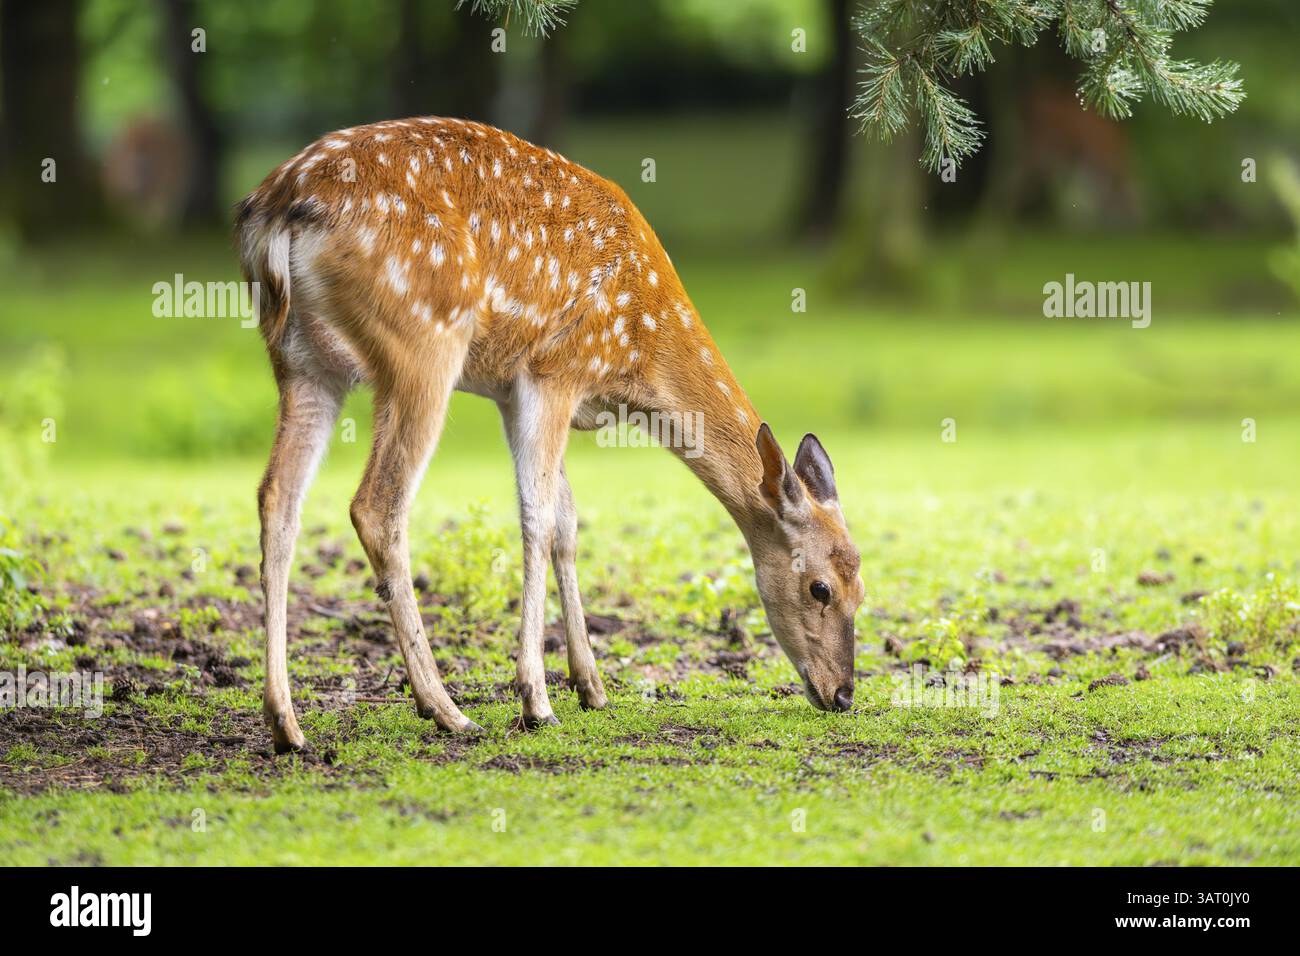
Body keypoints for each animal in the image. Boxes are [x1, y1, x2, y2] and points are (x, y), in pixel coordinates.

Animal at [236, 117, 865, 752]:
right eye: (820, 588)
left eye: (862, 589)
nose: (841, 694)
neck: (635, 359)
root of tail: (281, 206)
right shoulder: (554, 371)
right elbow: (538, 519)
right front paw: (536, 699)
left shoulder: (511, 391)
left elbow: (567, 521)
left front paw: (591, 686)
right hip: (424, 342)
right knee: (376, 505)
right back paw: (444, 708)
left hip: (302, 360)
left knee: (276, 497)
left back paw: (286, 723)